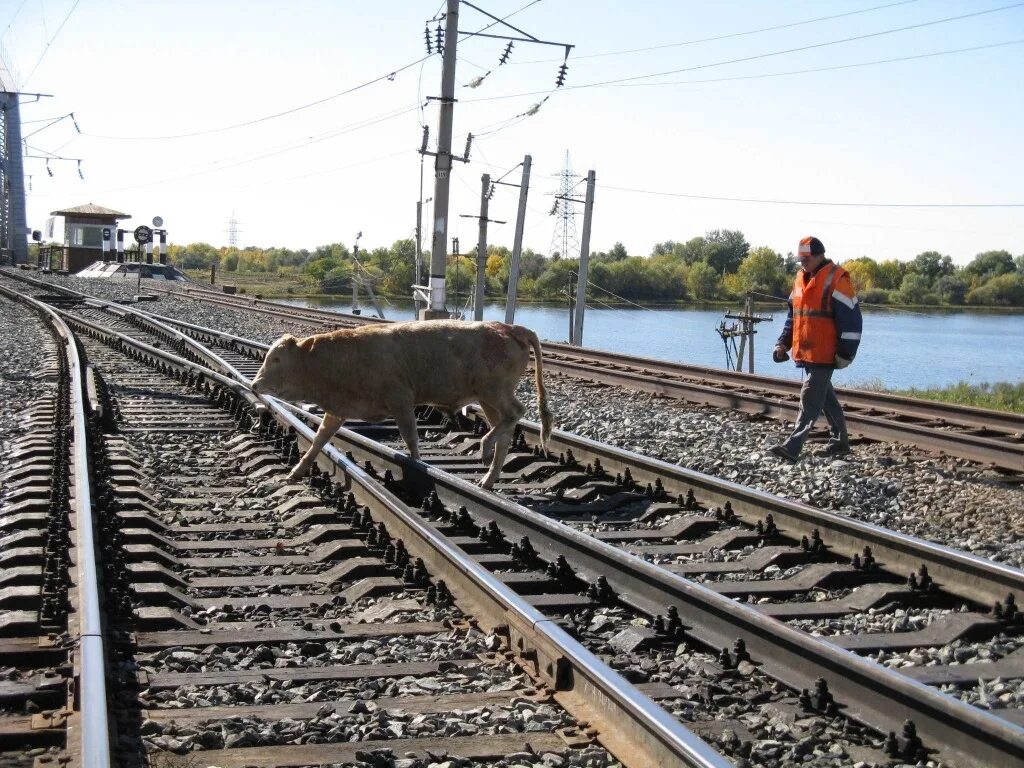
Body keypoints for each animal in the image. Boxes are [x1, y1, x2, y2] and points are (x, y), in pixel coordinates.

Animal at [249, 321, 552, 489]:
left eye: (276, 359)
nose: (254, 384)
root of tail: (511, 328)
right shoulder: (338, 410)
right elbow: (318, 441)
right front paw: (295, 472)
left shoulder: (401, 400)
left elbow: (411, 438)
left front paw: (417, 466)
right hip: (487, 398)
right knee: (506, 429)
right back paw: (488, 476)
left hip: (494, 390)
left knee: (516, 414)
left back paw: (485, 447)